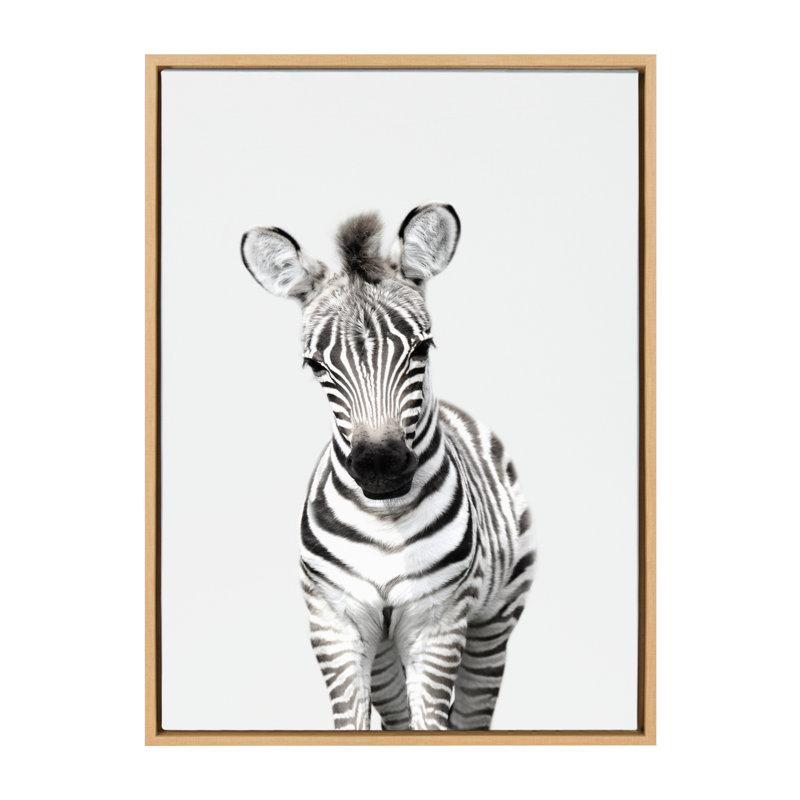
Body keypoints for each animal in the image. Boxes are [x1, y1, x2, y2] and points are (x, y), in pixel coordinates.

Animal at [240, 204, 536, 731]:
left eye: (422, 348)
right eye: (316, 366)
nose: (381, 467)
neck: (386, 522)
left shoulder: (438, 624)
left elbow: (433, 723)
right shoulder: (334, 622)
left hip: (495, 620)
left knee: (471, 715)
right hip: (382, 652)